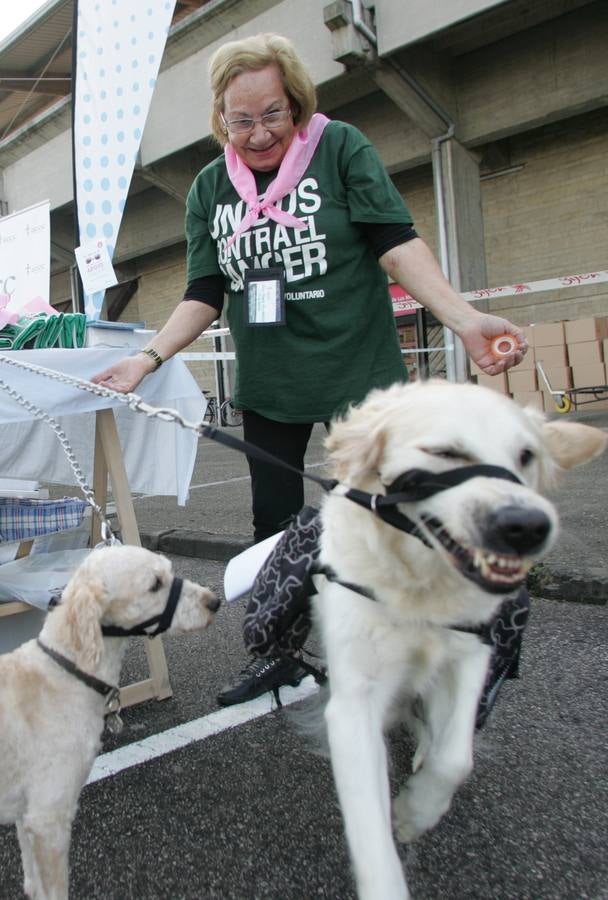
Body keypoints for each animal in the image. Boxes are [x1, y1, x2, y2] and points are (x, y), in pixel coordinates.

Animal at [0, 544, 218, 900]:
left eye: (170, 571)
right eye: (155, 584)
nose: (215, 602)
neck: (63, 671)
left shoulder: (26, 816)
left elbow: (32, 881)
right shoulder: (49, 818)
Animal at [316, 380, 604, 900]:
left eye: (526, 455)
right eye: (445, 453)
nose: (527, 527)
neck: (420, 587)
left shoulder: (471, 653)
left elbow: (456, 758)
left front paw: (415, 812)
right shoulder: (354, 701)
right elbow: (371, 836)